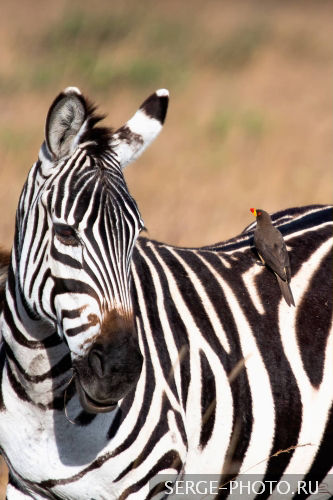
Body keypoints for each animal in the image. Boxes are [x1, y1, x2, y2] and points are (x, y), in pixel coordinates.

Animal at [0, 88, 330, 498]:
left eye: (136, 235)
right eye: (65, 233)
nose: (120, 371)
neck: (41, 396)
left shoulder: (148, 485)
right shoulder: (24, 485)